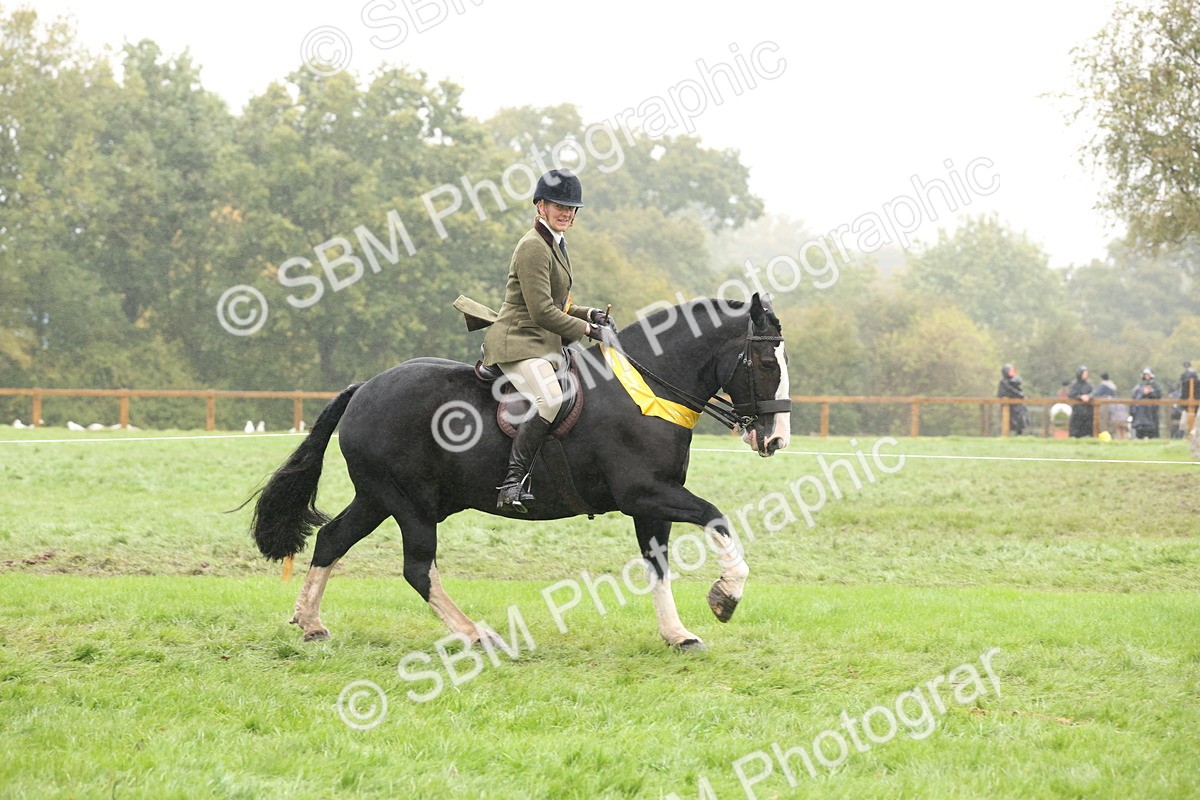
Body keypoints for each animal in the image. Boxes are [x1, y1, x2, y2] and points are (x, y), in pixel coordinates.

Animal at [248, 292, 791, 650]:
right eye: (767, 361)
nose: (776, 439)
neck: (647, 390)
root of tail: (364, 388)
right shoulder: (645, 493)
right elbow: (717, 517)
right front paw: (725, 597)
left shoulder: (652, 502)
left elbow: (657, 567)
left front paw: (677, 633)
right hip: (410, 505)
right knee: (417, 567)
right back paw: (477, 634)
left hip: (377, 499)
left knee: (332, 539)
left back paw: (310, 623)